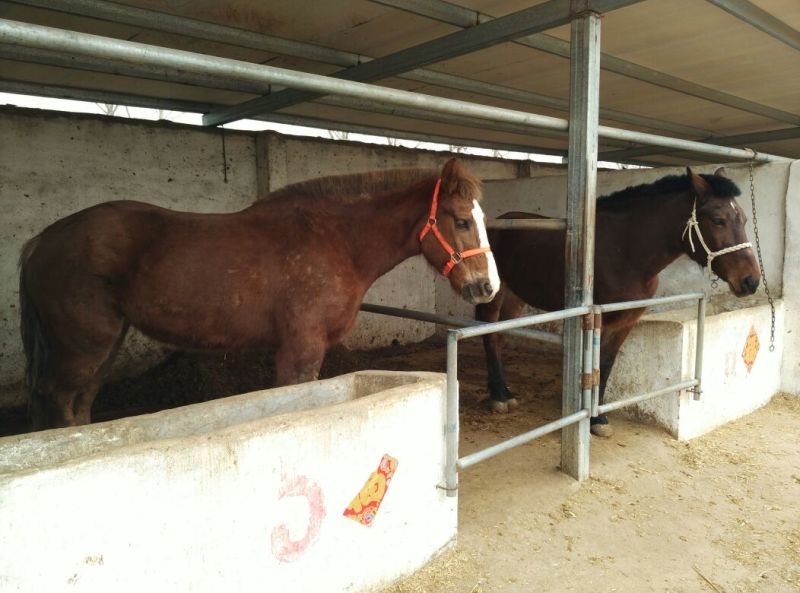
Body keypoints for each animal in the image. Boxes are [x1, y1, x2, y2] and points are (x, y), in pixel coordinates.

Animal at [19, 158, 500, 430]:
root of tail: (43, 240)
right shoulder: (301, 350)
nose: (487, 287)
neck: (335, 240)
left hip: (103, 346)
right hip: (83, 348)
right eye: (461, 220)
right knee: (59, 402)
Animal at [477, 167, 761, 436]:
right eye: (718, 220)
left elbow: (606, 364)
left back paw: (504, 390)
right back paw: (499, 396)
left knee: (498, 337)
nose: (751, 281)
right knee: (489, 336)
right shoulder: (599, 320)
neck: (626, 254)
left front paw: (598, 419)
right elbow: (594, 365)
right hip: (494, 296)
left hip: (514, 298)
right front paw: (588, 416)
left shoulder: (626, 321)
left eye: (744, 219)